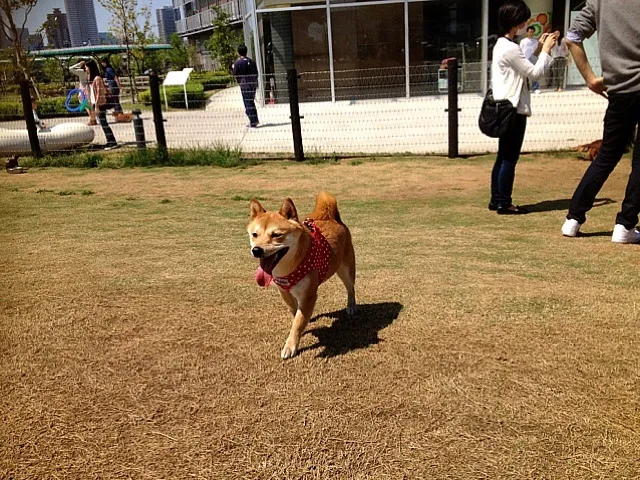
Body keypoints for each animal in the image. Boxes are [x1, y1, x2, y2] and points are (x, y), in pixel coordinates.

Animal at [248, 193, 358, 358]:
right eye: (255, 235)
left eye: (276, 235)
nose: (256, 250)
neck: (290, 267)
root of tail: (333, 219)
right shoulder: (284, 291)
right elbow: (295, 313)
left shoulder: (308, 296)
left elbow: (298, 322)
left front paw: (290, 346)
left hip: (346, 271)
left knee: (351, 288)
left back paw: (351, 306)